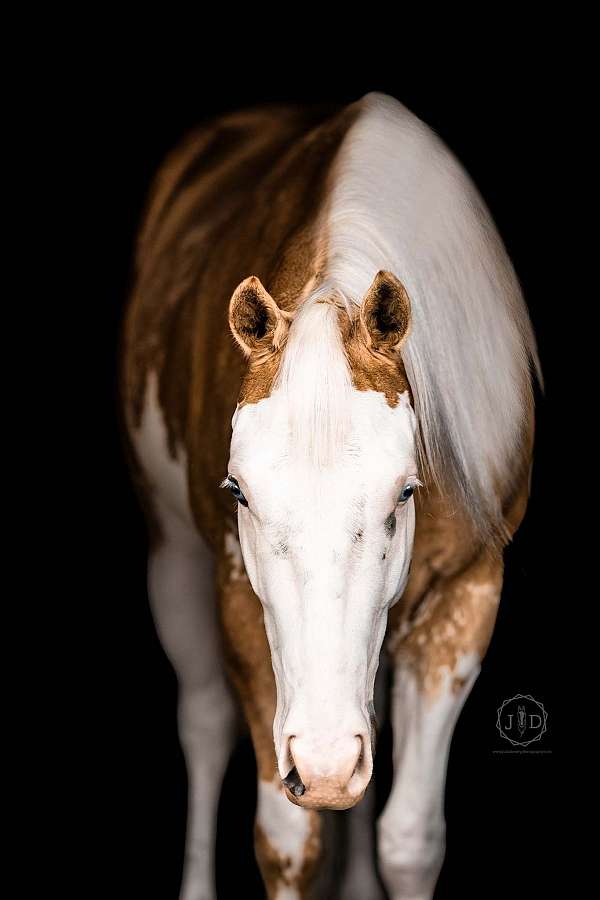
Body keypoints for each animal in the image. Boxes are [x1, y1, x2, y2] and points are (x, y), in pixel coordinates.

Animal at [120, 92, 539, 899]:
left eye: (406, 491)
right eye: (238, 492)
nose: (321, 765)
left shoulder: (467, 593)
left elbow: (410, 838)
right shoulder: (238, 594)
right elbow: (289, 839)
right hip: (172, 549)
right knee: (204, 723)